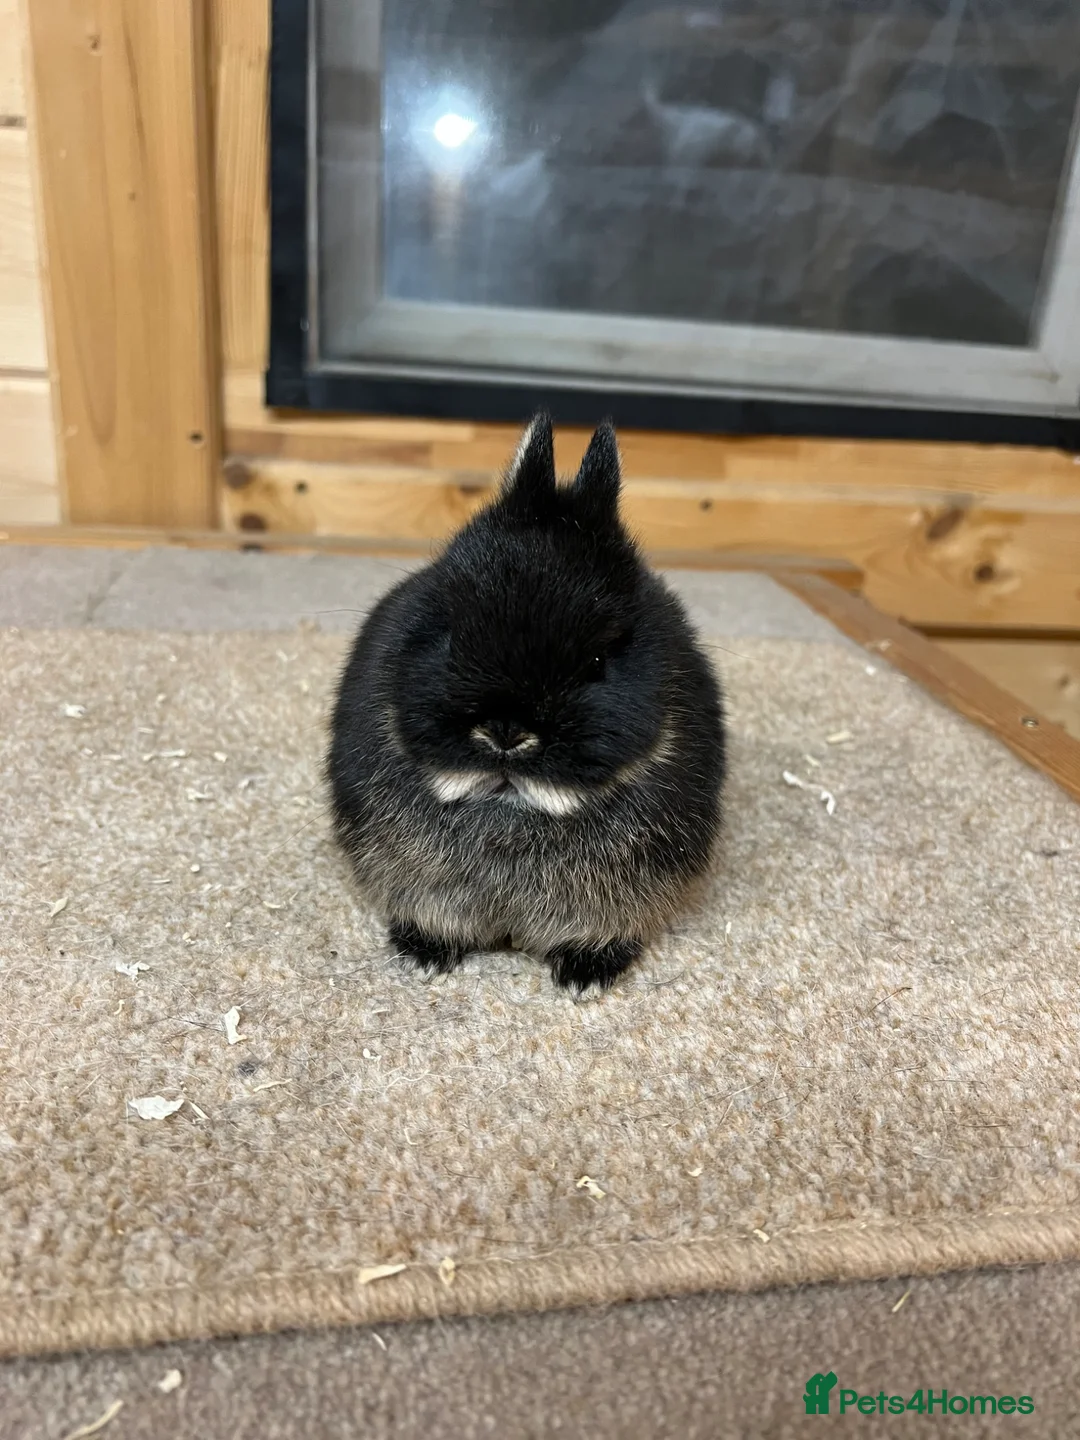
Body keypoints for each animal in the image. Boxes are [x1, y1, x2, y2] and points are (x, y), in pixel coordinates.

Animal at [328, 414, 726, 992]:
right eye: (451, 632)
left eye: (598, 662)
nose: (506, 732)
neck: (511, 808)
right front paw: (426, 954)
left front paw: (585, 974)